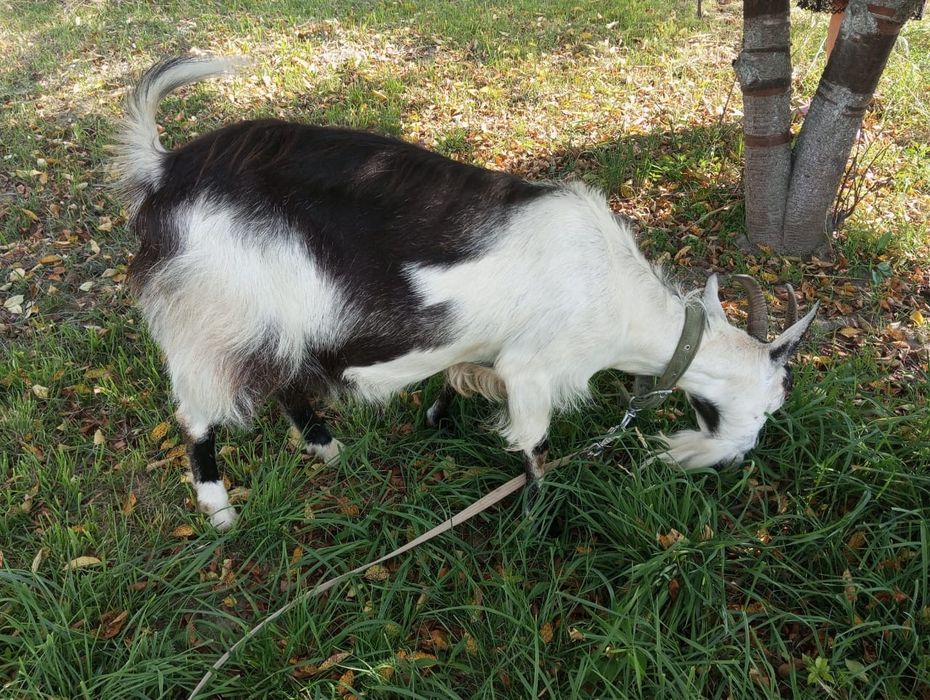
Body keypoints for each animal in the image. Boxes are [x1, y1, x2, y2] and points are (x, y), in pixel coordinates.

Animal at [115, 56, 817, 530]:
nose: (736, 461)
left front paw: (434, 420)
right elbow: (533, 446)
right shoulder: (535, 370)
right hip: (213, 315)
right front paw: (540, 519)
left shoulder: (483, 352)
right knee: (198, 411)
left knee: (287, 379)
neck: (616, 298)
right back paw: (220, 510)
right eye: (772, 403)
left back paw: (330, 451)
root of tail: (163, 170)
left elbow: (453, 382)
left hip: (280, 317)